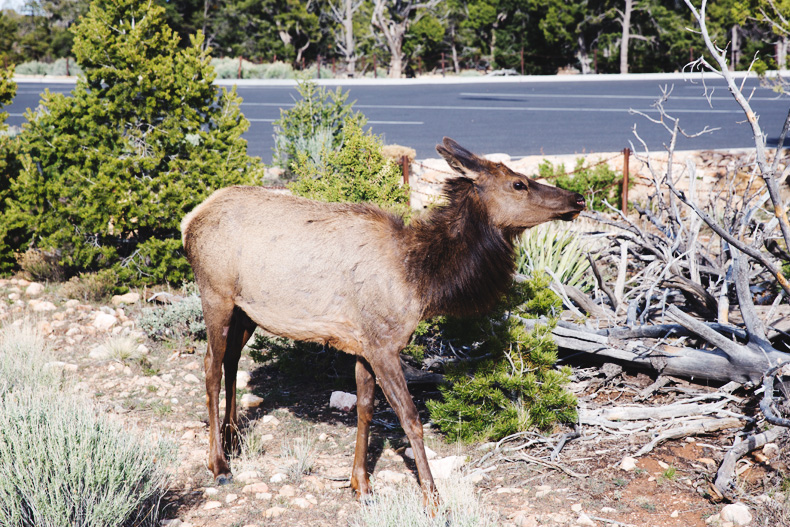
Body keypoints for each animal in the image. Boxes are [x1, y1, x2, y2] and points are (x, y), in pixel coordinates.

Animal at [181, 138, 588, 506]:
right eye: (518, 183)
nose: (578, 199)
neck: (421, 278)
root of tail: (189, 220)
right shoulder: (384, 345)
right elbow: (410, 418)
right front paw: (433, 498)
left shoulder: (364, 344)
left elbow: (365, 409)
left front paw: (360, 484)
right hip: (215, 293)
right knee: (211, 365)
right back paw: (219, 464)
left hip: (246, 310)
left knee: (231, 361)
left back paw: (233, 439)